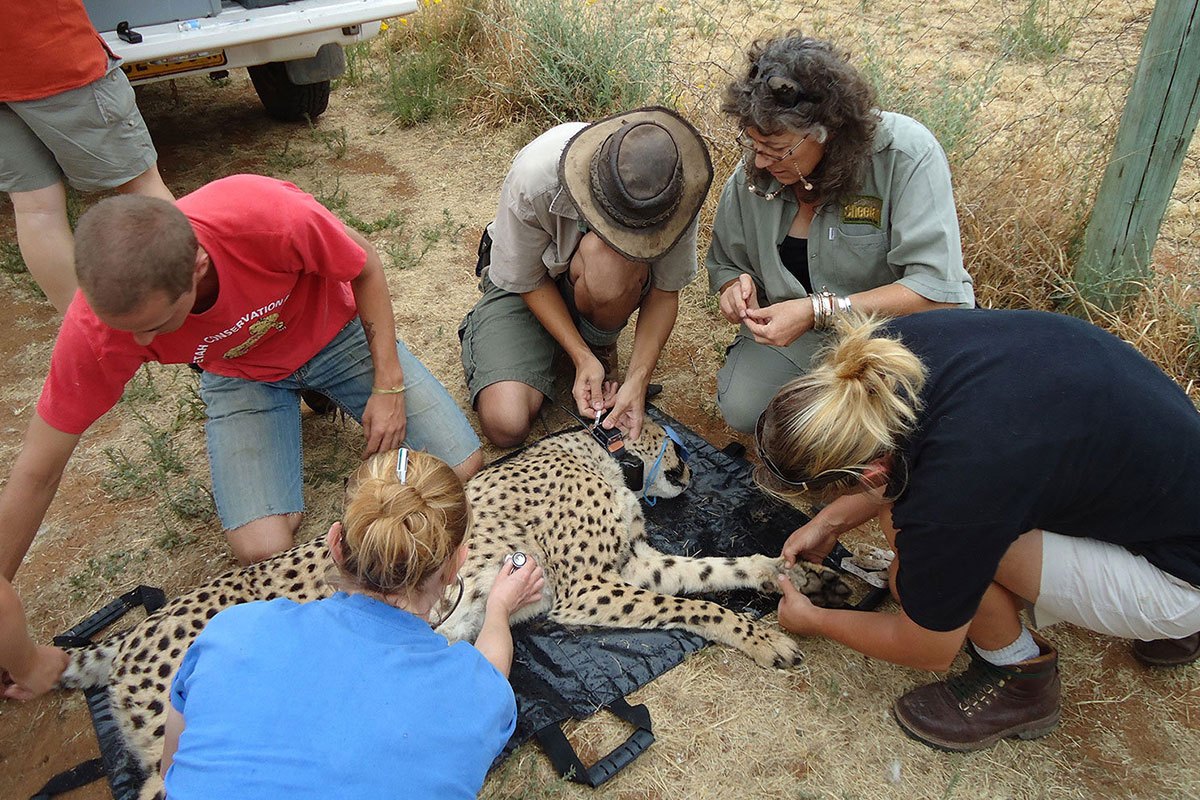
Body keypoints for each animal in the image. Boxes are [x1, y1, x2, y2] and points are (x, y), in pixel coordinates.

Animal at [54, 422, 844, 796]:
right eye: (673, 440)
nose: (690, 466)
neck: (601, 453)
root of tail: (134, 636)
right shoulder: (590, 588)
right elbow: (693, 607)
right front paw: (761, 632)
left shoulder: (635, 563)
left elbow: (719, 571)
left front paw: (793, 574)